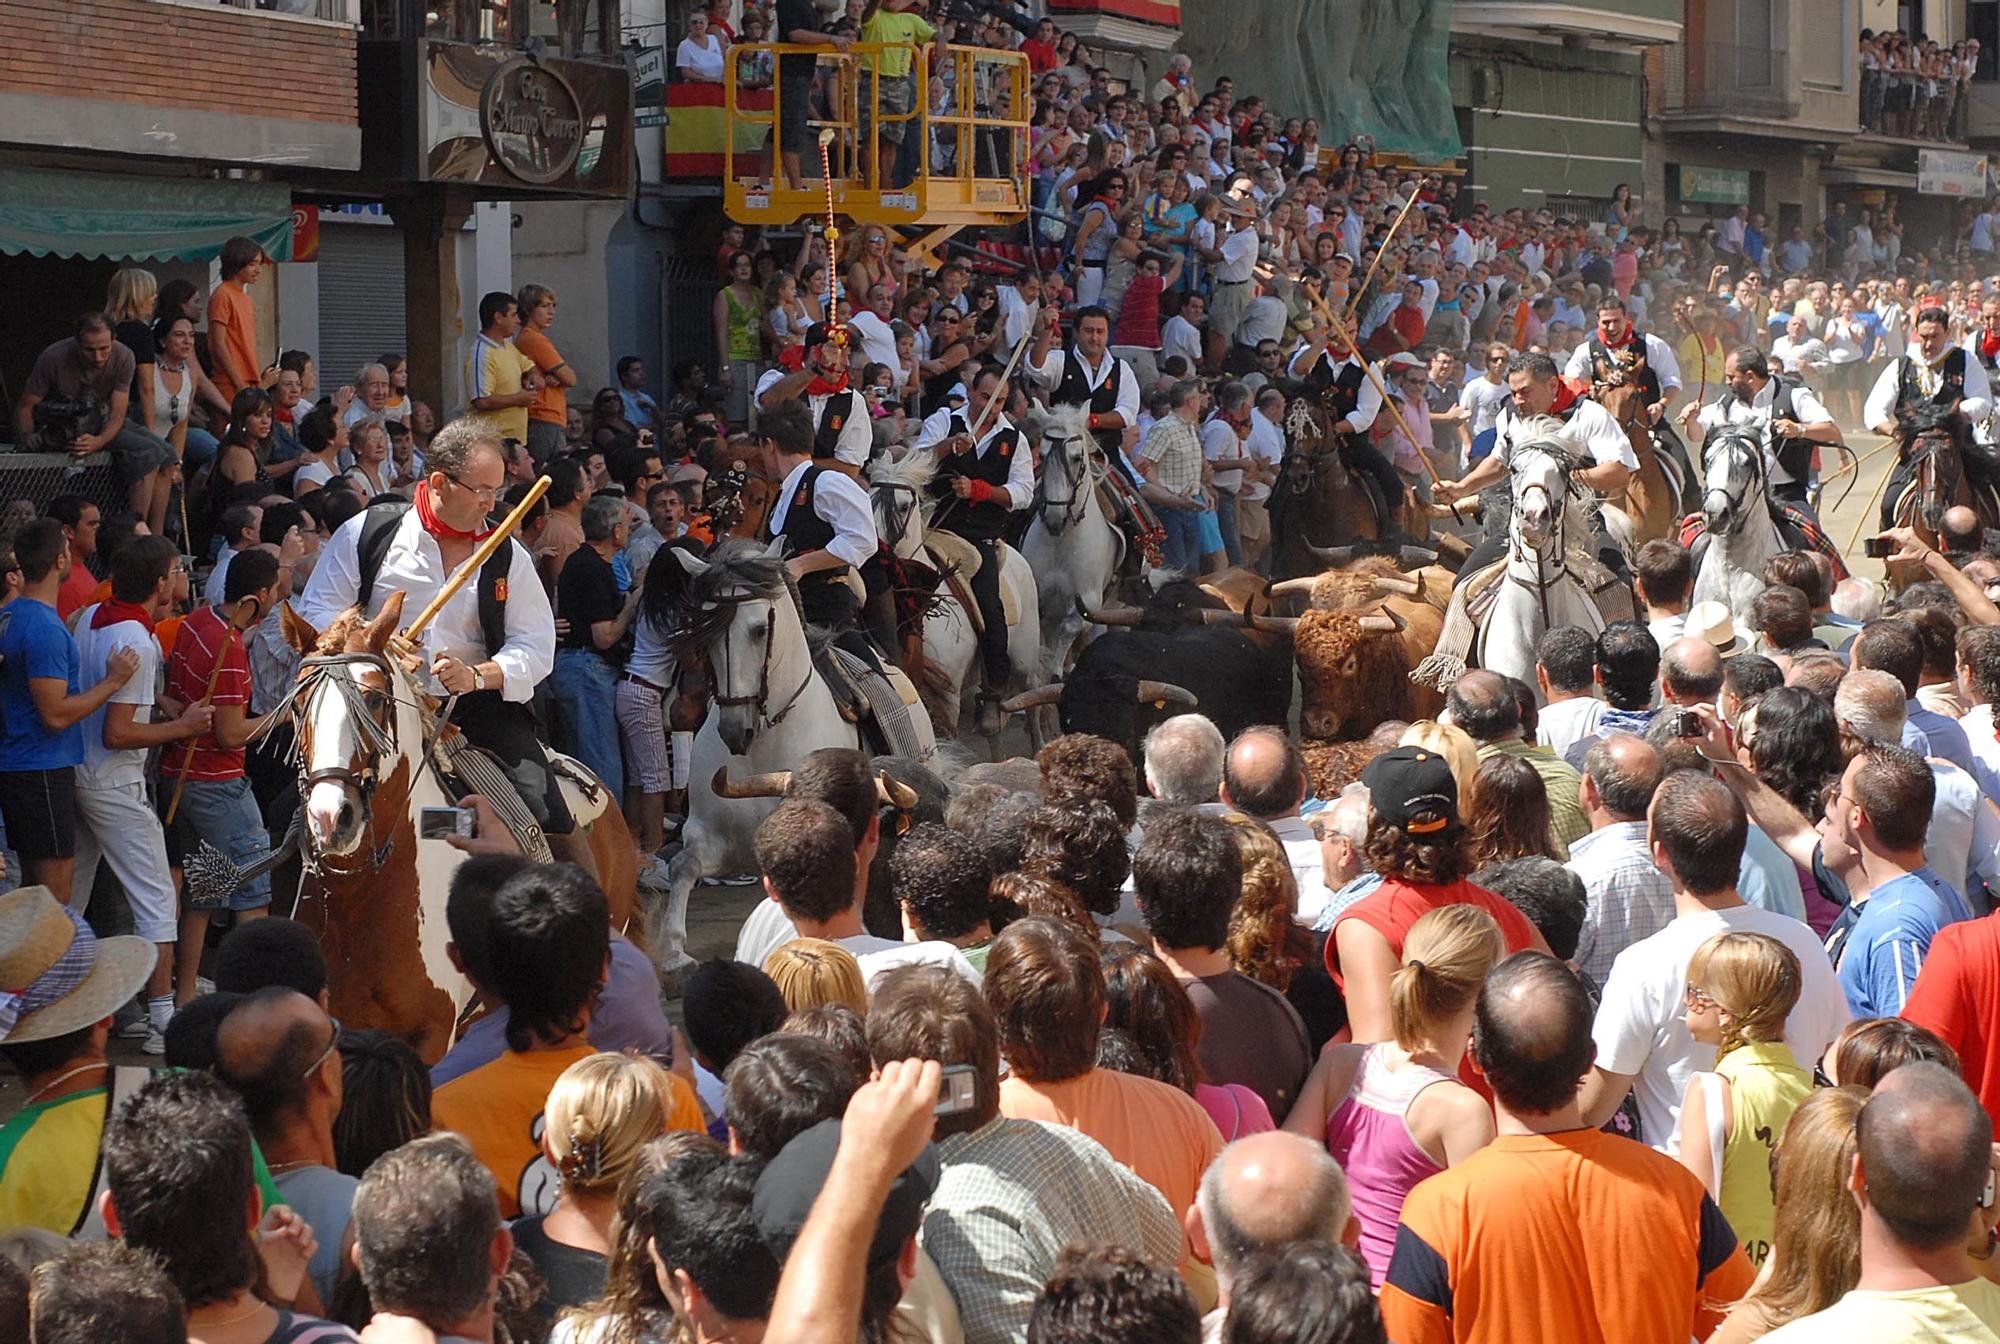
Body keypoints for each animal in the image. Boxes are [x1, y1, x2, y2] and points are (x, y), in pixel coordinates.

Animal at [660, 536, 932, 976]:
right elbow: (683, 865)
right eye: (705, 635)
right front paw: (673, 952)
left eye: (759, 630)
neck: (761, 745)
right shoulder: (713, 837)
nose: (734, 731)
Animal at [1024, 406, 1120, 684]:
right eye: (1042, 455)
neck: (1062, 540)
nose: (1055, 519)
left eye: (1077, 457)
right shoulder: (1038, 594)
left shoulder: (1088, 600)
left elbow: (1069, 627)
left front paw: (1056, 671)